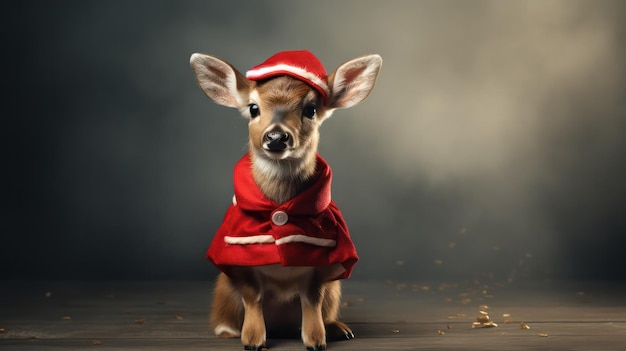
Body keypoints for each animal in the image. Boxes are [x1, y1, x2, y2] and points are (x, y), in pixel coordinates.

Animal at [186, 50, 380, 351]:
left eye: (311, 109)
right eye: (253, 108)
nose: (276, 136)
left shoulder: (322, 263)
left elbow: (312, 297)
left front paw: (316, 340)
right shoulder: (239, 259)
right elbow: (253, 295)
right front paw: (253, 339)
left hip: (336, 288)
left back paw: (338, 328)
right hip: (224, 290)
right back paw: (230, 329)